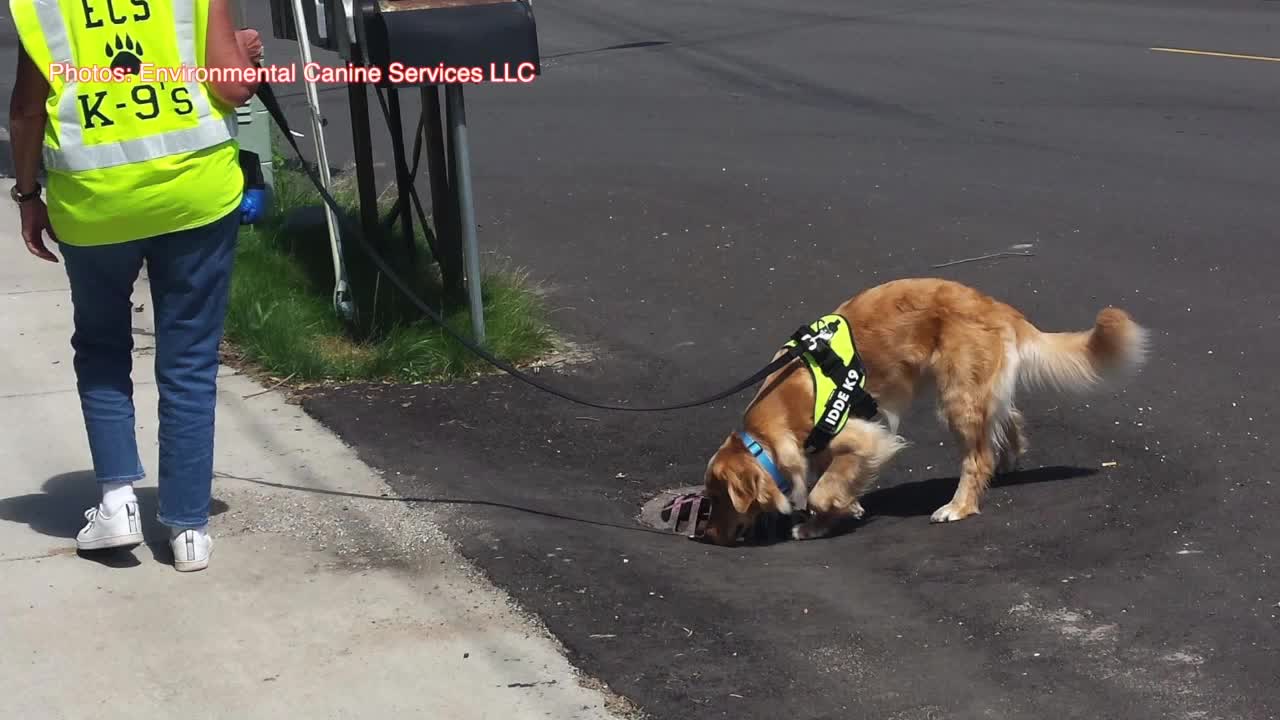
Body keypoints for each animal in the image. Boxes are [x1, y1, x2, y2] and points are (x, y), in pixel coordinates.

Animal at [701, 279, 1152, 543]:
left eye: (717, 500)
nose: (707, 534)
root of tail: (998, 307)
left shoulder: (867, 437)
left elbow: (820, 491)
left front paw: (821, 517)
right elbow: (833, 483)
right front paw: (837, 514)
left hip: (956, 398)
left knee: (977, 457)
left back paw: (960, 505)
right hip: (972, 389)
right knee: (1006, 422)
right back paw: (1007, 462)